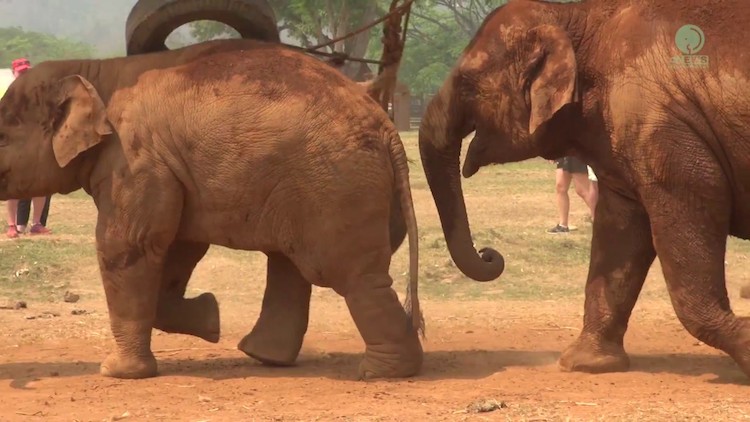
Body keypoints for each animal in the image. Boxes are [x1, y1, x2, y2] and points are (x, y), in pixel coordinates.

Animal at [0, 44, 424, 380]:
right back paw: (266, 355)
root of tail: (386, 126)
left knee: (347, 273)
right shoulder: (168, 171)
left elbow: (128, 245)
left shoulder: (134, 159)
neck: (95, 70)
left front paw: (117, 373)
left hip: (333, 183)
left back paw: (381, 372)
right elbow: (177, 245)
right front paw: (211, 318)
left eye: (3, 135)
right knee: (290, 263)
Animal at [420, 0, 750, 378]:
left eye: (467, 82)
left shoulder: (661, 130)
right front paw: (585, 363)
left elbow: (694, 206)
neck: (577, 17)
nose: (490, 254)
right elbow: (619, 230)